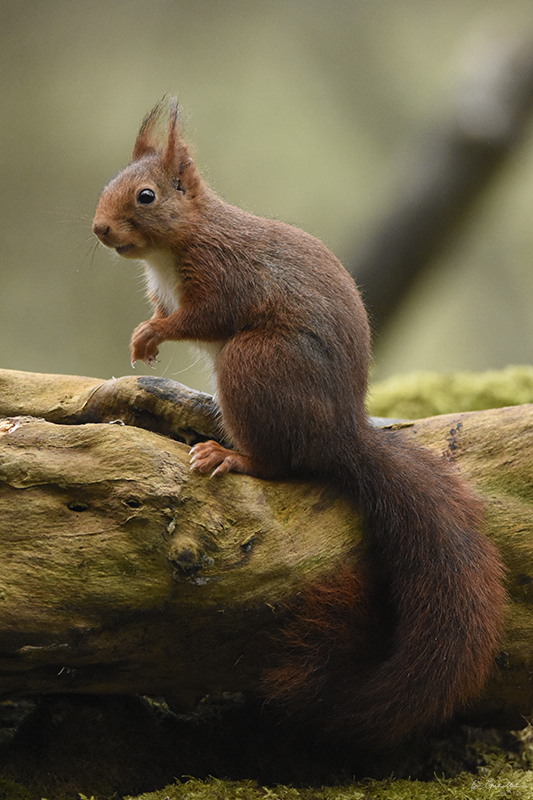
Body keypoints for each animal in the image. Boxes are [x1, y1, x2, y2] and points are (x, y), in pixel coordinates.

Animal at [93, 100, 504, 752]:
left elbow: (204, 317)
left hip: (252, 364)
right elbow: (163, 312)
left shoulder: (224, 277)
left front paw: (154, 333)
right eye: (111, 184)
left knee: (280, 465)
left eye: (146, 196)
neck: (183, 241)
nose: (99, 229)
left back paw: (229, 456)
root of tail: (341, 434)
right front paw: (143, 340)